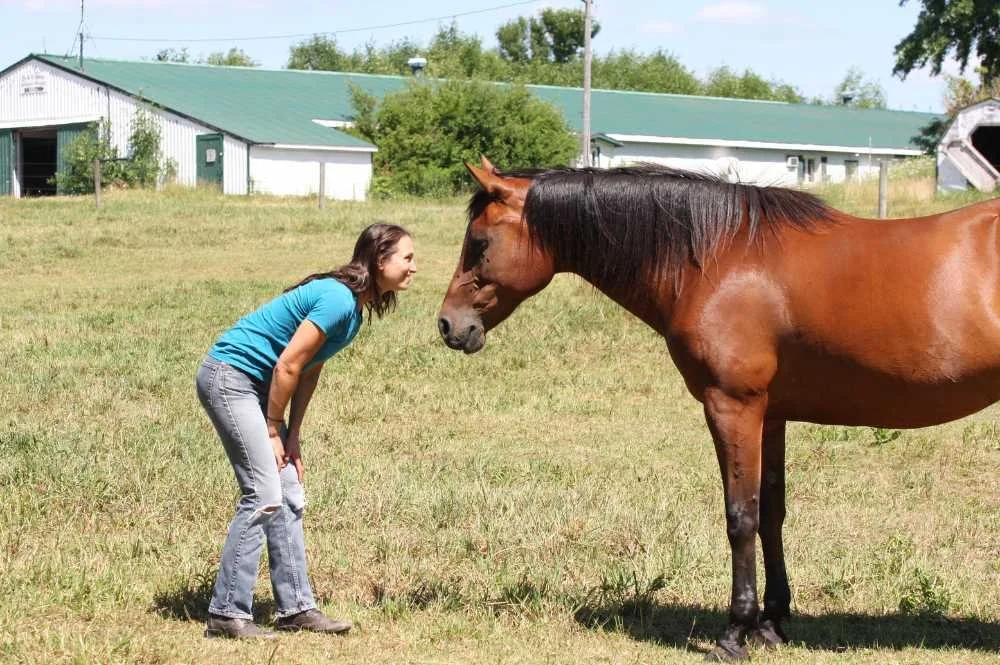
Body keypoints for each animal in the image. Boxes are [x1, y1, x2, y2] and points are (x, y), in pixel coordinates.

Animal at [436, 157, 1000, 661]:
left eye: (479, 243)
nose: (448, 325)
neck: (719, 258)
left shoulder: (733, 408)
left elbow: (740, 517)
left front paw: (734, 633)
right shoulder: (771, 416)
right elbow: (771, 512)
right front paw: (772, 624)